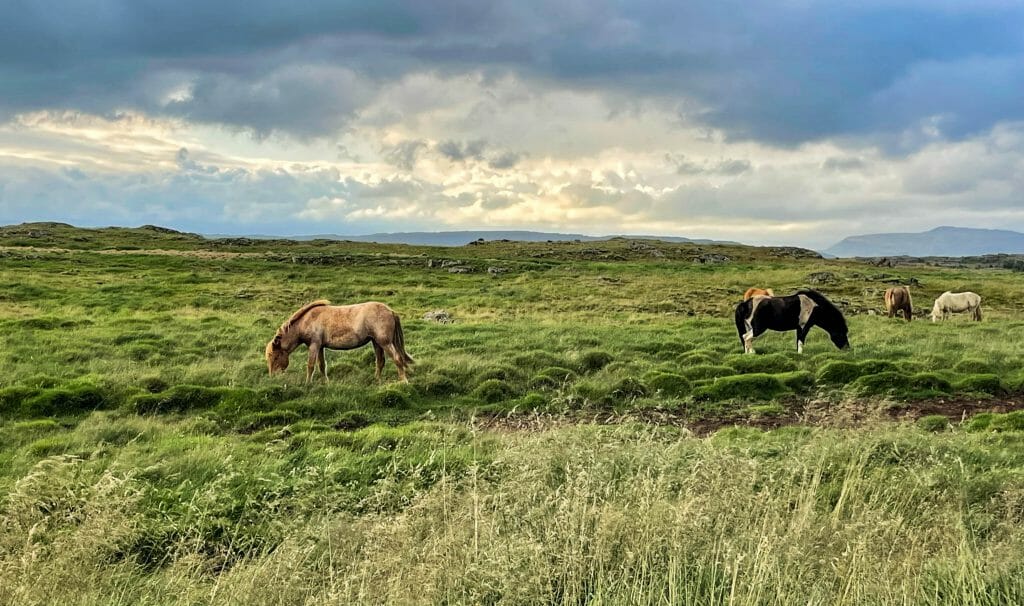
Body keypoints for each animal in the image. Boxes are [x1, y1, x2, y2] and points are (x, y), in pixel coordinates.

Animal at [266, 298, 413, 382]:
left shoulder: (314, 345)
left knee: (397, 359)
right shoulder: (320, 347)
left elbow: (310, 366)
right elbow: (321, 366)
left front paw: (308, 384)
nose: (272, 377)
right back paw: (376, 380)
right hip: (376, 342)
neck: (307, 320)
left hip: (385, 343)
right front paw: (326, 383)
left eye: (275, 357)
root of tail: (390, 311)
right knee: (380, 362)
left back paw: (403, 382)